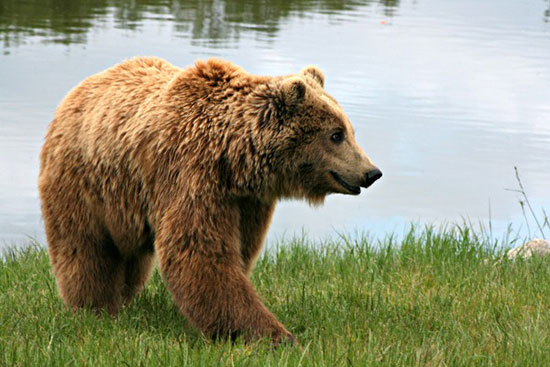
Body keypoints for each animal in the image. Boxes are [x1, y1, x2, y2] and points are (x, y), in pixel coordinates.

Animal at [38, 57, 384, 344]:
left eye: (349, 130)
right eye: (336, 134)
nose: (371, 172)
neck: (233, 159)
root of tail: (77, 91)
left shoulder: (247, 202)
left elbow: (239, 250)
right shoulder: (191, 175)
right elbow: (201, 252)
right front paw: (273, 334)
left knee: (130, 259)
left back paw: (122, 298)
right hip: (84, 183)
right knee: (85, 247)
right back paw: (93, 307)